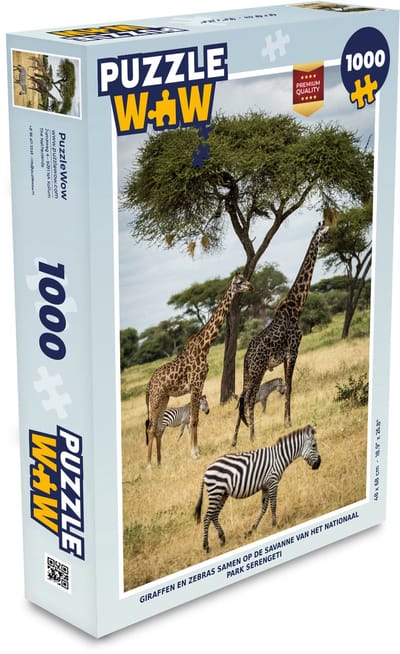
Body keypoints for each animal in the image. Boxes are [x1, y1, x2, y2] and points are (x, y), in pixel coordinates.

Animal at [195, 424, 321, 553]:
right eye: (314, 445)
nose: (318, 464)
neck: (279, 457)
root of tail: (206, 471)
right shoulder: (273, 482)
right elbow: (273, 504)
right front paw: (275, 525)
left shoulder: (265, 486)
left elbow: (264, 508)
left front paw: (252, 529)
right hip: (216, 492)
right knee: (207, 517)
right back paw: (206, 546)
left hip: (222, 494)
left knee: (214, 515)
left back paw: (222, 538)